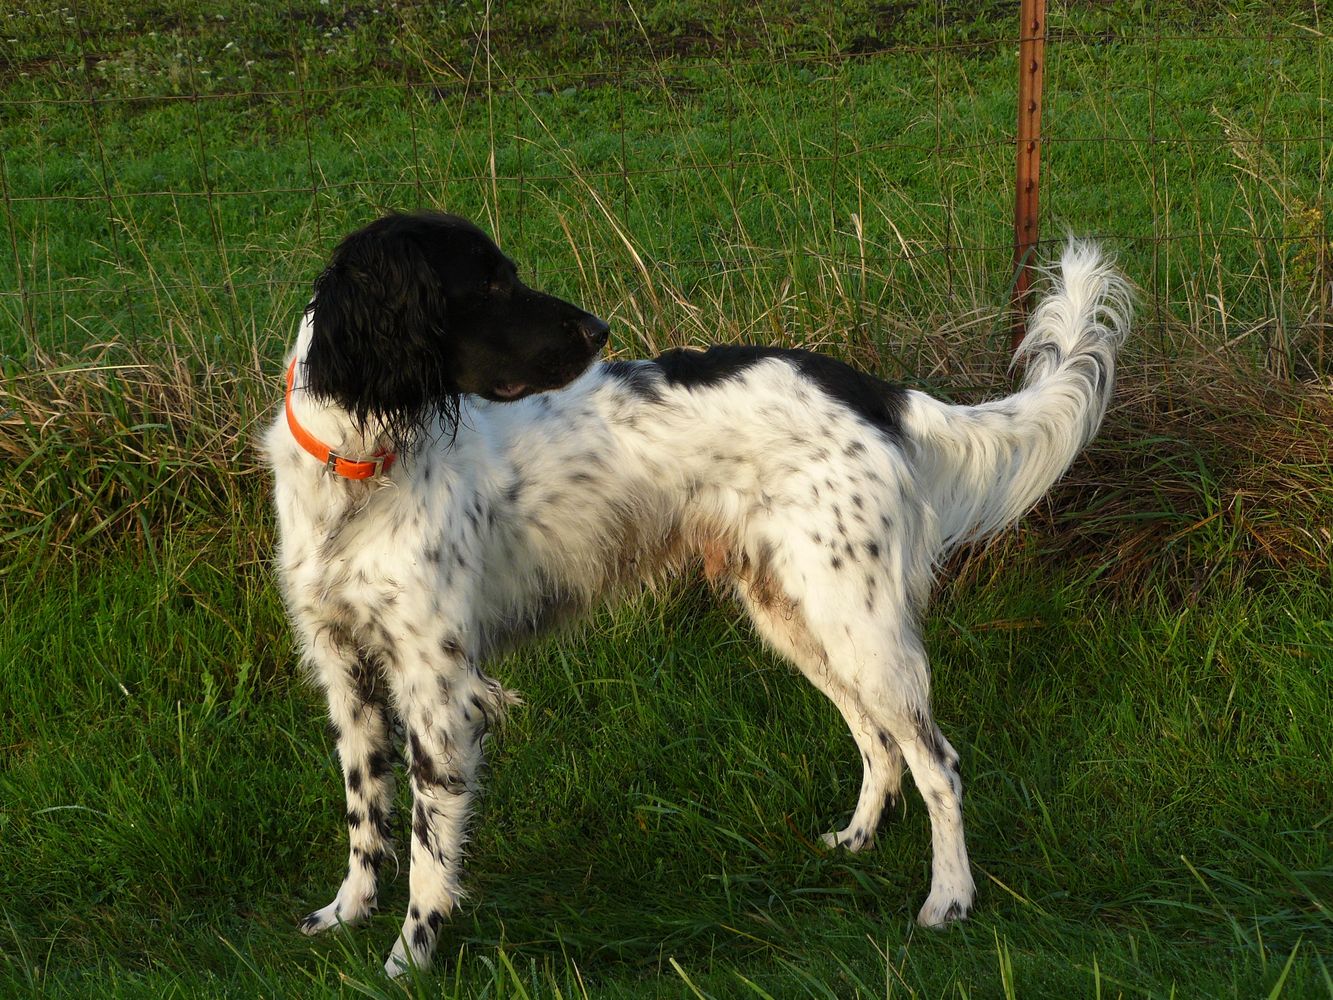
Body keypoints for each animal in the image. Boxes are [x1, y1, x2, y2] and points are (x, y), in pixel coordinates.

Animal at [265, 212, 1130, 981]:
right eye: (486, 284)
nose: (599, 330)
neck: (358, 471)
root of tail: (871, 389)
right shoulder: (345, 670)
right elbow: (363, 813)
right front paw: (347, 912)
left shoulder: (437, 686)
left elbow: (427, 847)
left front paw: (409, 955)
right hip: (799, 617)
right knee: (877, 741)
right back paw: (856, 839)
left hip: (855, 622)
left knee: (936, 763)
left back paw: (949, 898)